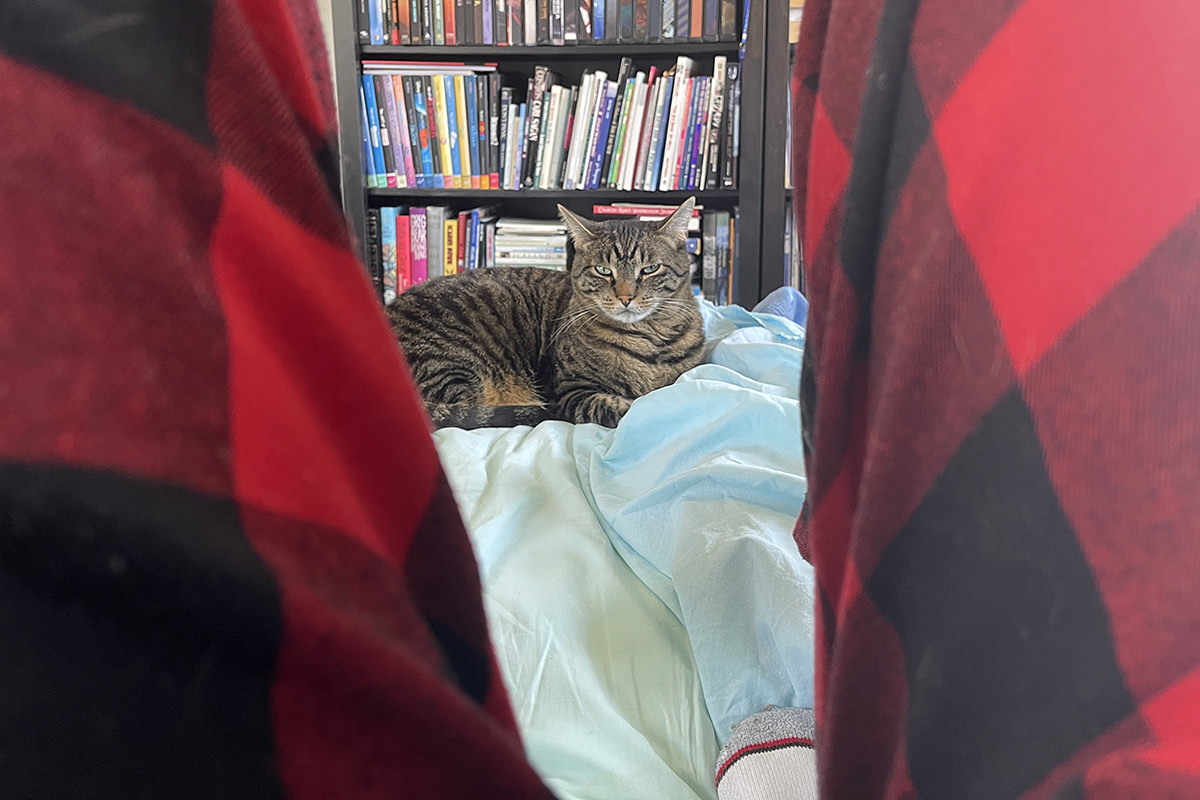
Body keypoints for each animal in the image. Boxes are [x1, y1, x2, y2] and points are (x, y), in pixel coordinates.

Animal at [386, 197, 700, 429]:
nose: (625, 297)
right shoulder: (570, 391)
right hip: (453, 370)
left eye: (650, 269)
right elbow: (627, 407)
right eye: (603, 270)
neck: (649, 339)